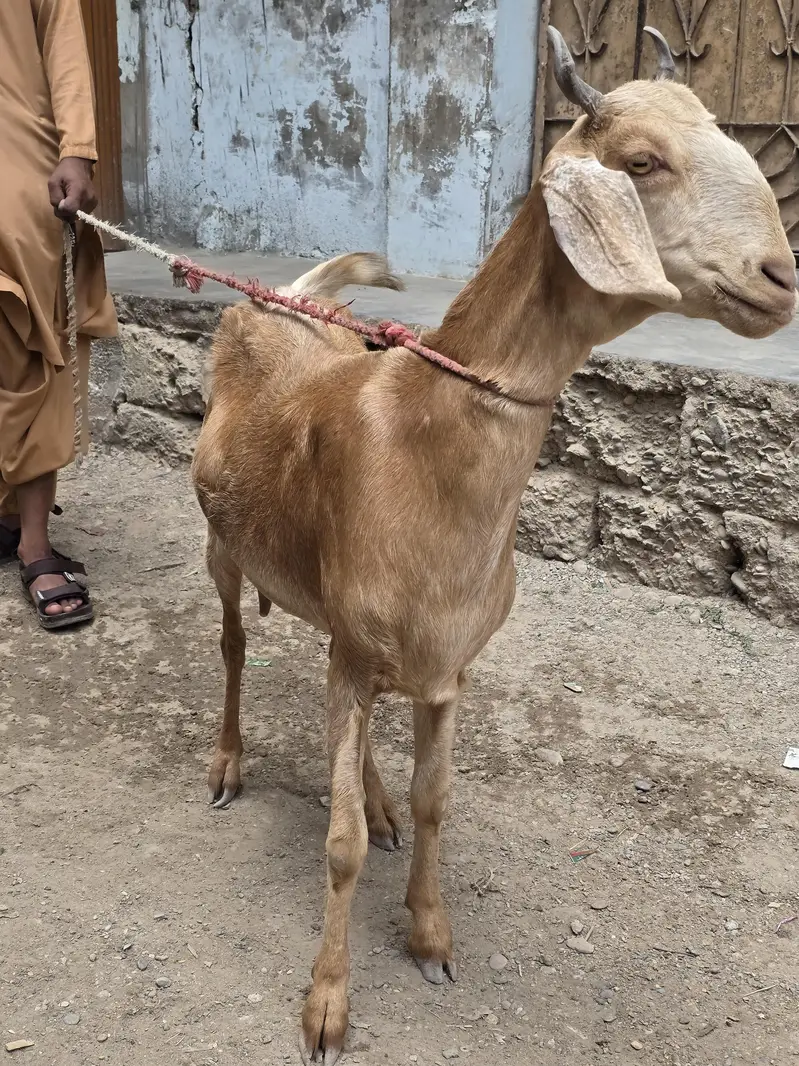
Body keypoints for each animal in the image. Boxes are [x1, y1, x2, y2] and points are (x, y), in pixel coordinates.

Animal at [191, 27, 796, 1064]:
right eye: (642, 161)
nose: (779, 280)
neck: (417, 441)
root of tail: (276, 299)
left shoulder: (448, 668)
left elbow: (437, 800)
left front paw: (431, 935)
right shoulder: (360, 648)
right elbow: (338, 848)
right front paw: (326, 1005)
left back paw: (377, 796)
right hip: (221, 547)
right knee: (233, 644)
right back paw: (230, 765)